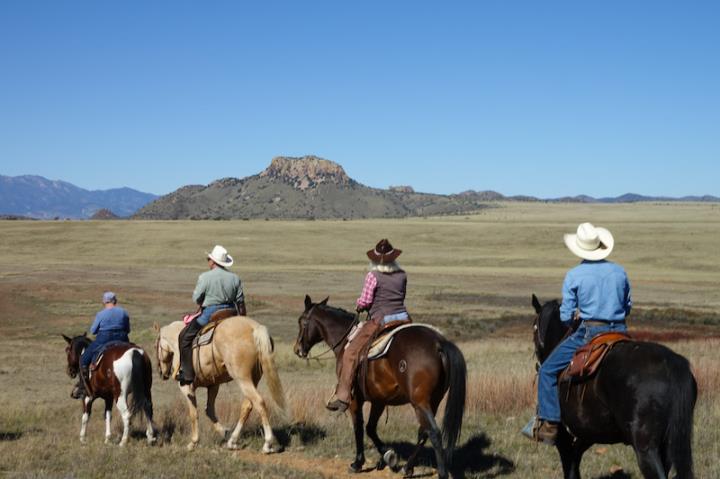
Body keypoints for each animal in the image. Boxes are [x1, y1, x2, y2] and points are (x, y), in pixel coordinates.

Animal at [156, 316, 286, 452]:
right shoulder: (213, 385)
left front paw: (193, 442)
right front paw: (224, 432)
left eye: (156, 346)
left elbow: (193, 413)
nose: (162, 373)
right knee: (248, 406)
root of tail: (255, 328)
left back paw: (267, 443)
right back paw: (232, 441)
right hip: (253, 379)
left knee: (259, 402)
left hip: (242, 379)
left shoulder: (186, 387)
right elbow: (209, 410)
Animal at [292, 296, 466, 479]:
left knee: (433, 432)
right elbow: (370, 428)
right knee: (423, 432)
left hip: (420, 402)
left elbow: (359, 427)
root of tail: (438, 344)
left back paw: (441, 473)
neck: (346, 340)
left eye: (301, 321)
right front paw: (389, 457)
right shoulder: (379, 400)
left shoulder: (355, 399)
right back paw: (407, 468)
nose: (297, 349)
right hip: (434, 401)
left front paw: (358, 463)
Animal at [532, 294, 696, 478]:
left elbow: (569, 468)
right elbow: (575, 463)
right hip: (667, 445)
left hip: (646, 449)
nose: (539, 364)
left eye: (534, 327)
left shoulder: (564, 438)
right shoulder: (587, 434)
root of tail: (672, 363)